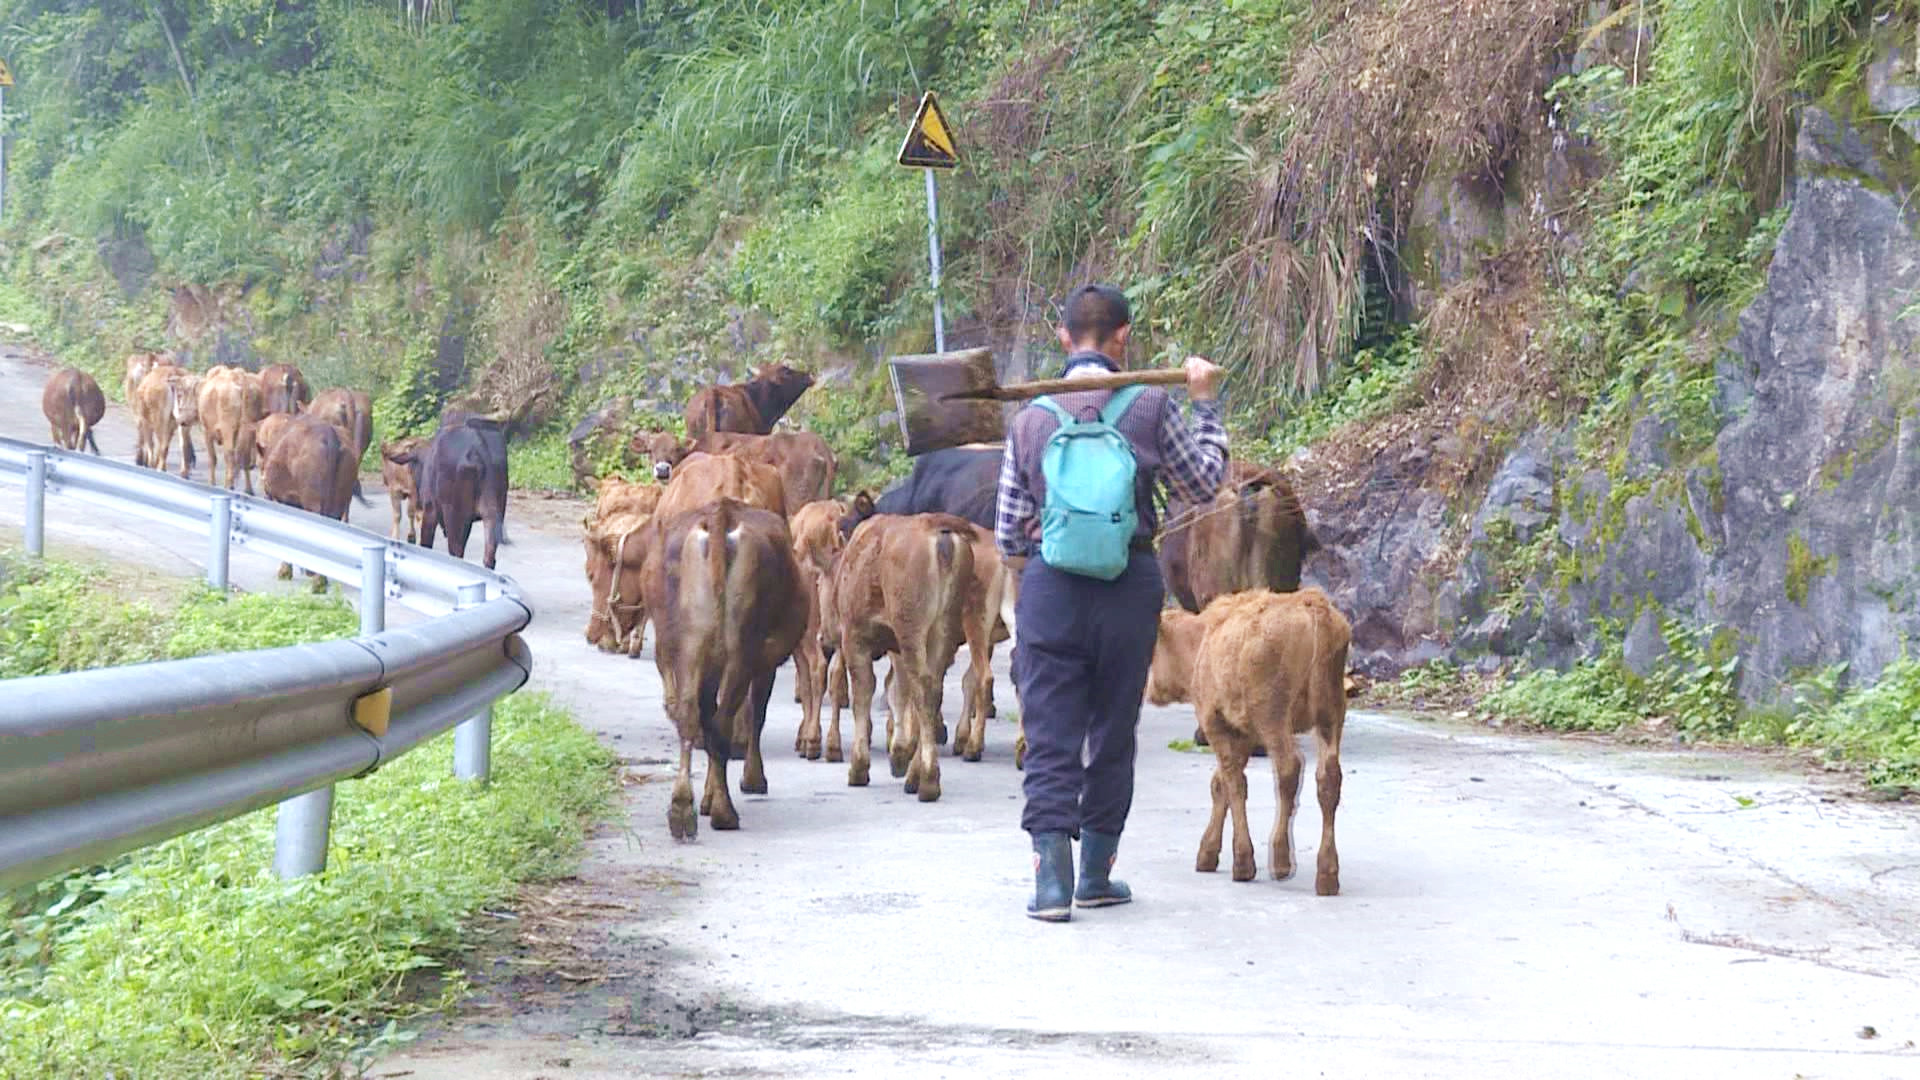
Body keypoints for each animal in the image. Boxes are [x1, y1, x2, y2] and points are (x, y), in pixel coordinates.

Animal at [637, 495, 802, 834]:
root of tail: (721, 513)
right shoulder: (765, 662)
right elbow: (756, 715)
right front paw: (752, 780)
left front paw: (706, 798)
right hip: (742, 648)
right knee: (722, 722)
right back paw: (724, 813)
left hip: (688, 644)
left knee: (691, 715)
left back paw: (682, 809)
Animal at [821, 511, 975, 799]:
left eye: (818, 583)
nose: (822, 638)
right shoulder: (896, 648)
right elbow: (897, 692)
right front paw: (899, 754)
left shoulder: (855, 637)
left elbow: (864, 692)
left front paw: (859, 767)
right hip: (942, 630)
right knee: (932, 690)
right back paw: (916, 775)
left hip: (911, 628)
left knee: (923, 689)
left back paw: (928, 780)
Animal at [1144, 588, 1359, 891]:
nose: (1149, 690)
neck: (1202, 640)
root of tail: (1313, 605)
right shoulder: (1244, 733)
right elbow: (1220, 784)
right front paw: (1208, 852)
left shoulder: (1216, 725)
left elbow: (1234, 784)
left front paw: (1242, 862)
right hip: (1331, 716)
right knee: (1328, 778)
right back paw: (1327, 874)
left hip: (1274, 718)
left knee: (1288, 768)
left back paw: (1281, 860)